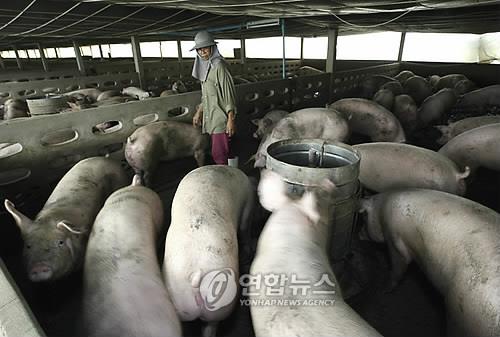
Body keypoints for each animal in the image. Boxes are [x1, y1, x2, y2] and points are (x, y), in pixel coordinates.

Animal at [358, 188, 500, 334]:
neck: (381, 210)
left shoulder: (394, 237)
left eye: (364, 218)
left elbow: (398, 266)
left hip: (462, 312)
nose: (357, 235)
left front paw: (383, 290)